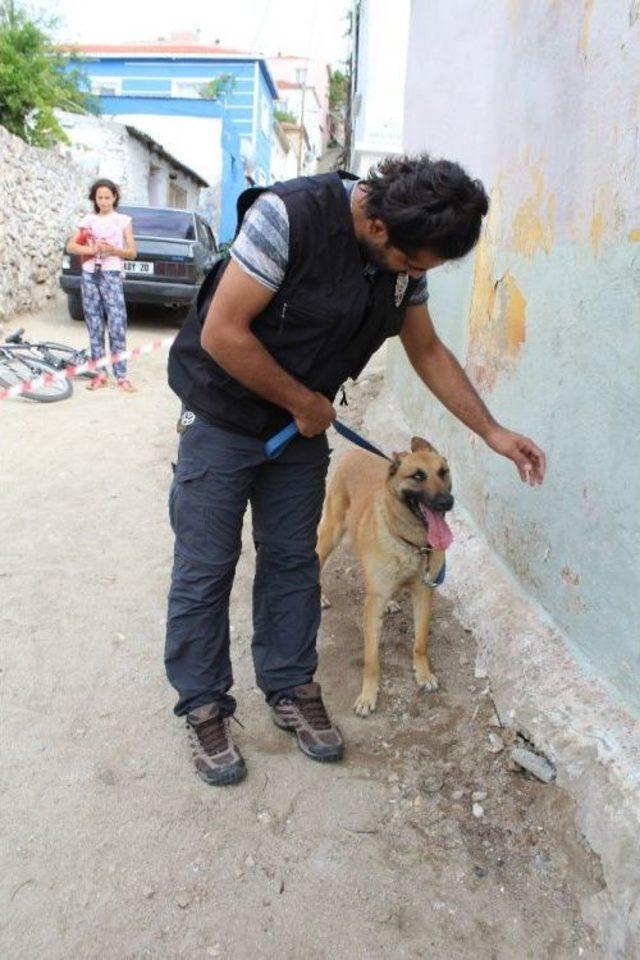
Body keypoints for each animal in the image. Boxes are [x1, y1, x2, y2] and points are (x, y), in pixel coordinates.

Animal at [318, 438, 452, 716]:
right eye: (418, 476)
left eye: (443, 472)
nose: (448, 501)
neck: (413, 543)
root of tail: (355, 451)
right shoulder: (373, 604)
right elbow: (371, 659)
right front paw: (368, 695)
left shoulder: (424, 593)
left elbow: (420, 641)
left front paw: (423, 673)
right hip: (331, 532)